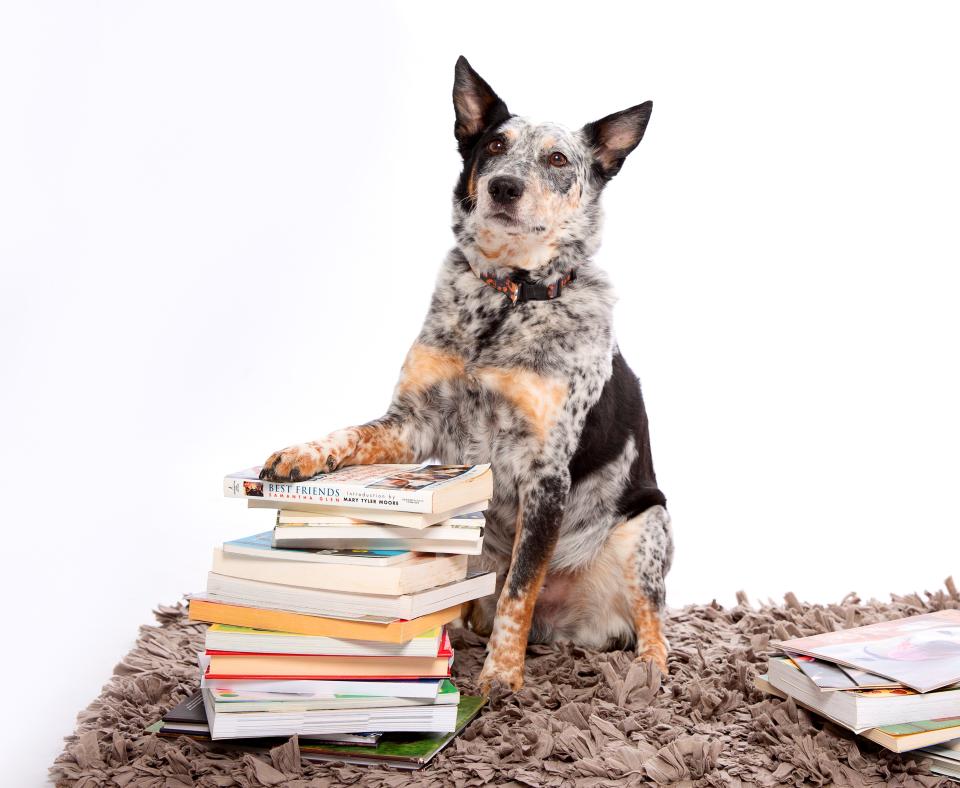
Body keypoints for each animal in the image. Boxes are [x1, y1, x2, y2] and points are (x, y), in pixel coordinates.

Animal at [258, 55, 672, 692]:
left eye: (558, 160)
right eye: (495, 145)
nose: (505, 186)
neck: (504, 301)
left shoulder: (545, 474)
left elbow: (520, 593)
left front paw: (501, 679)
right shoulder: (415, 424)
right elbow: (349, 433)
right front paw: (302, 453)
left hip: (647, 529)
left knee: (652, 620)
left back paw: (647, 670)